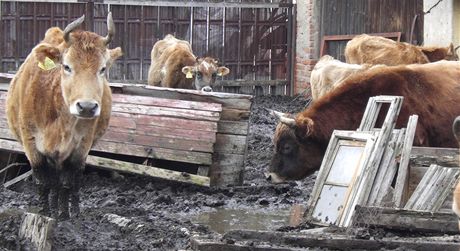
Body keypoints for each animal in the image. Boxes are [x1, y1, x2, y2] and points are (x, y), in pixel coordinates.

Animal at [6, 13, 122, 219]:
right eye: (67, 66)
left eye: (102, 69)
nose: (87, 107)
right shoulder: (31, 143)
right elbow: (43, 182)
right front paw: (44, 212)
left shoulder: (81, 146)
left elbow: (68, 182)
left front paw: (66, 215)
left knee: (71, 181)